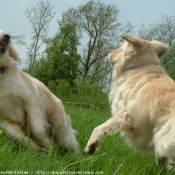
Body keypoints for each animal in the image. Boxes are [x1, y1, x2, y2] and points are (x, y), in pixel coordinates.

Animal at [84, 34, 175, 173]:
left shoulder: (127, 114)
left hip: (163, 139)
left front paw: (91, 145)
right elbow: (162, 163)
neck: (139, 67)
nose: (110, 51)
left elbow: (101, 127)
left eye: (121, 49)